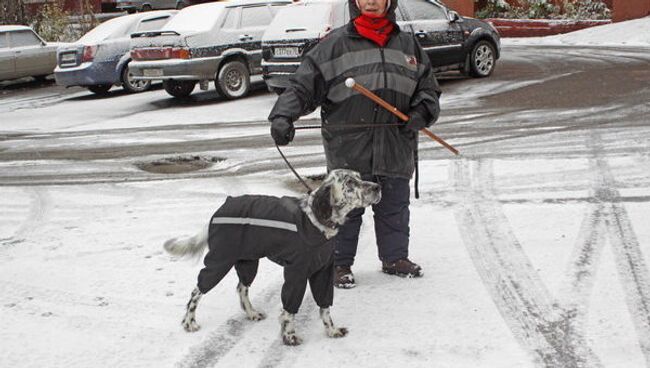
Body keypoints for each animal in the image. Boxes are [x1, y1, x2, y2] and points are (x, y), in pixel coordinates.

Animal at [162, 170, 382, 344]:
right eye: (350, 183)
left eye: (360, 177)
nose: (378, 186)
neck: (316, 222)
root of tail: (221, 207)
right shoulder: (296, 273)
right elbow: (289, 310)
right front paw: (289, 336)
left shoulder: (323, 273)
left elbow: (325, 307)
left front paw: (331, 330)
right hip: (219, 261)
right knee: (196, 291)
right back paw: (189, 322)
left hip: (248, 262)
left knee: (241, 288)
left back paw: (251, 313)